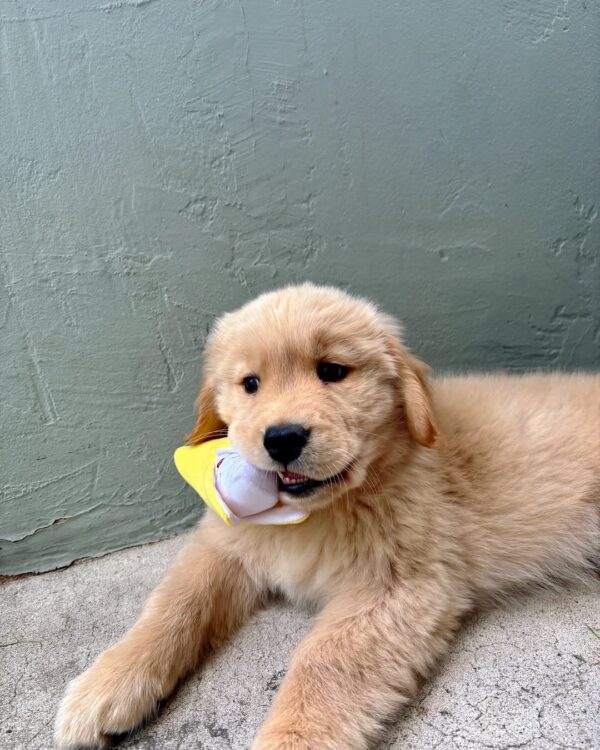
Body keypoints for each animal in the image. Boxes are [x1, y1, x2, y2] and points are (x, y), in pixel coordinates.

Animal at [56, 284, 600, 750]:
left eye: (333, 371)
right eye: (250, 384)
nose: (282, 439)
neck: (316, 511)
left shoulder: (399, 587)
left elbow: (323, 664)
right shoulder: (226, 545)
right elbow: (173, 604)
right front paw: (108, 683)